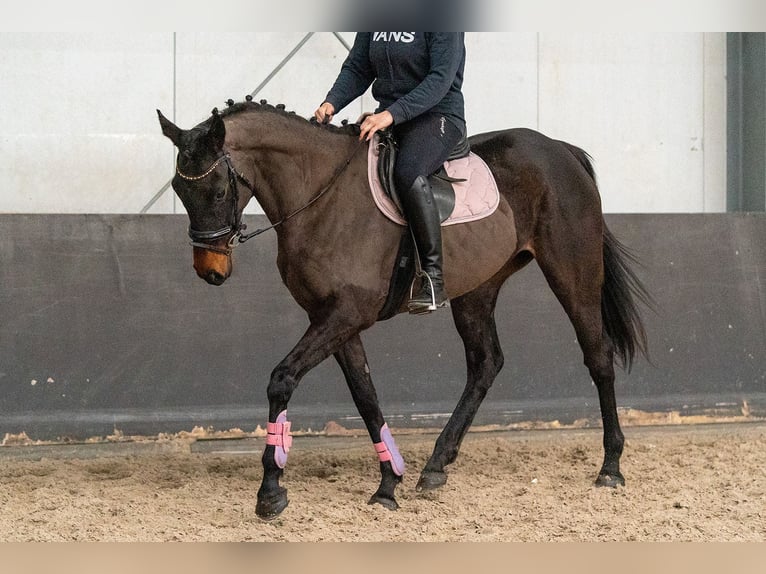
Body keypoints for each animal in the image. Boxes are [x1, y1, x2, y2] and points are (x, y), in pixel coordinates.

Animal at [157, 99, 650, 520]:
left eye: (218, 190)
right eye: (179, 188)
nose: (210, 270)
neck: (321, 196)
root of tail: (560, 150)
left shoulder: (345, 314)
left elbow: (283, 379)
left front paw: (271, 493)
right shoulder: (333, 319)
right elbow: (365, 396)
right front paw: (388, 483)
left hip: (572, 273)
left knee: (597, 355)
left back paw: (610, 467)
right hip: (478, 288)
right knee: (486, 363)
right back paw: (436, 465)